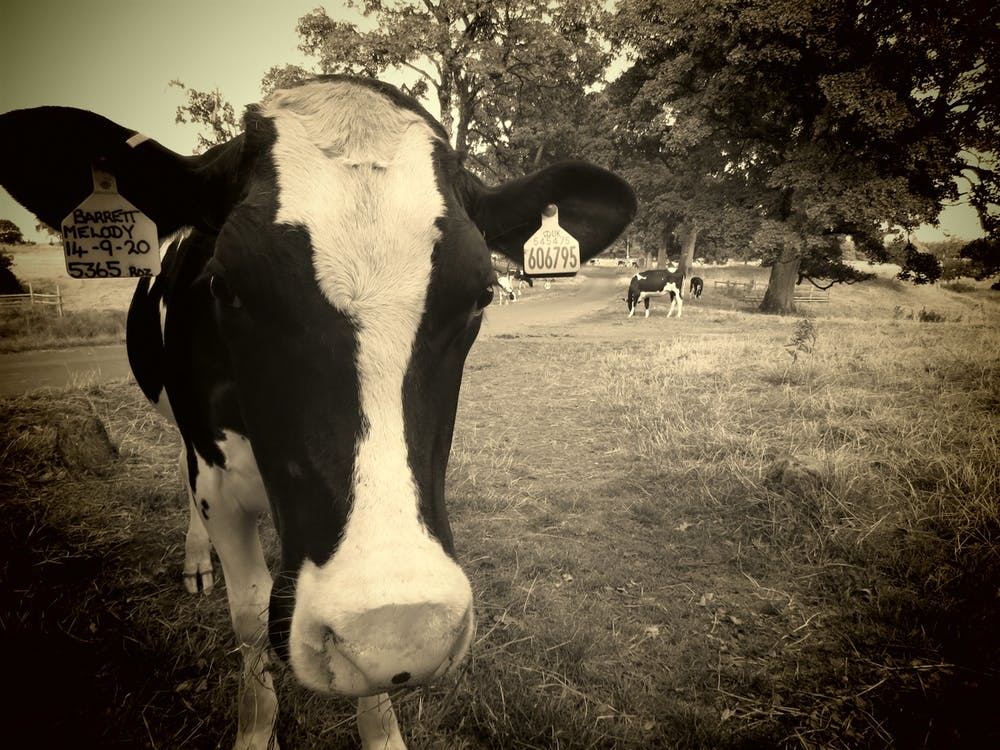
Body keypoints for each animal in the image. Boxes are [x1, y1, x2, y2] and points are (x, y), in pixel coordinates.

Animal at [0, 75, 636, 750]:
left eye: (482, 295)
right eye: (223, 285)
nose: (400, 626)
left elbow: (372, 682)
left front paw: (383, 730)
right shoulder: (219, 484)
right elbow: (249, 614)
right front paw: (255, 730)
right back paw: (196, 558)